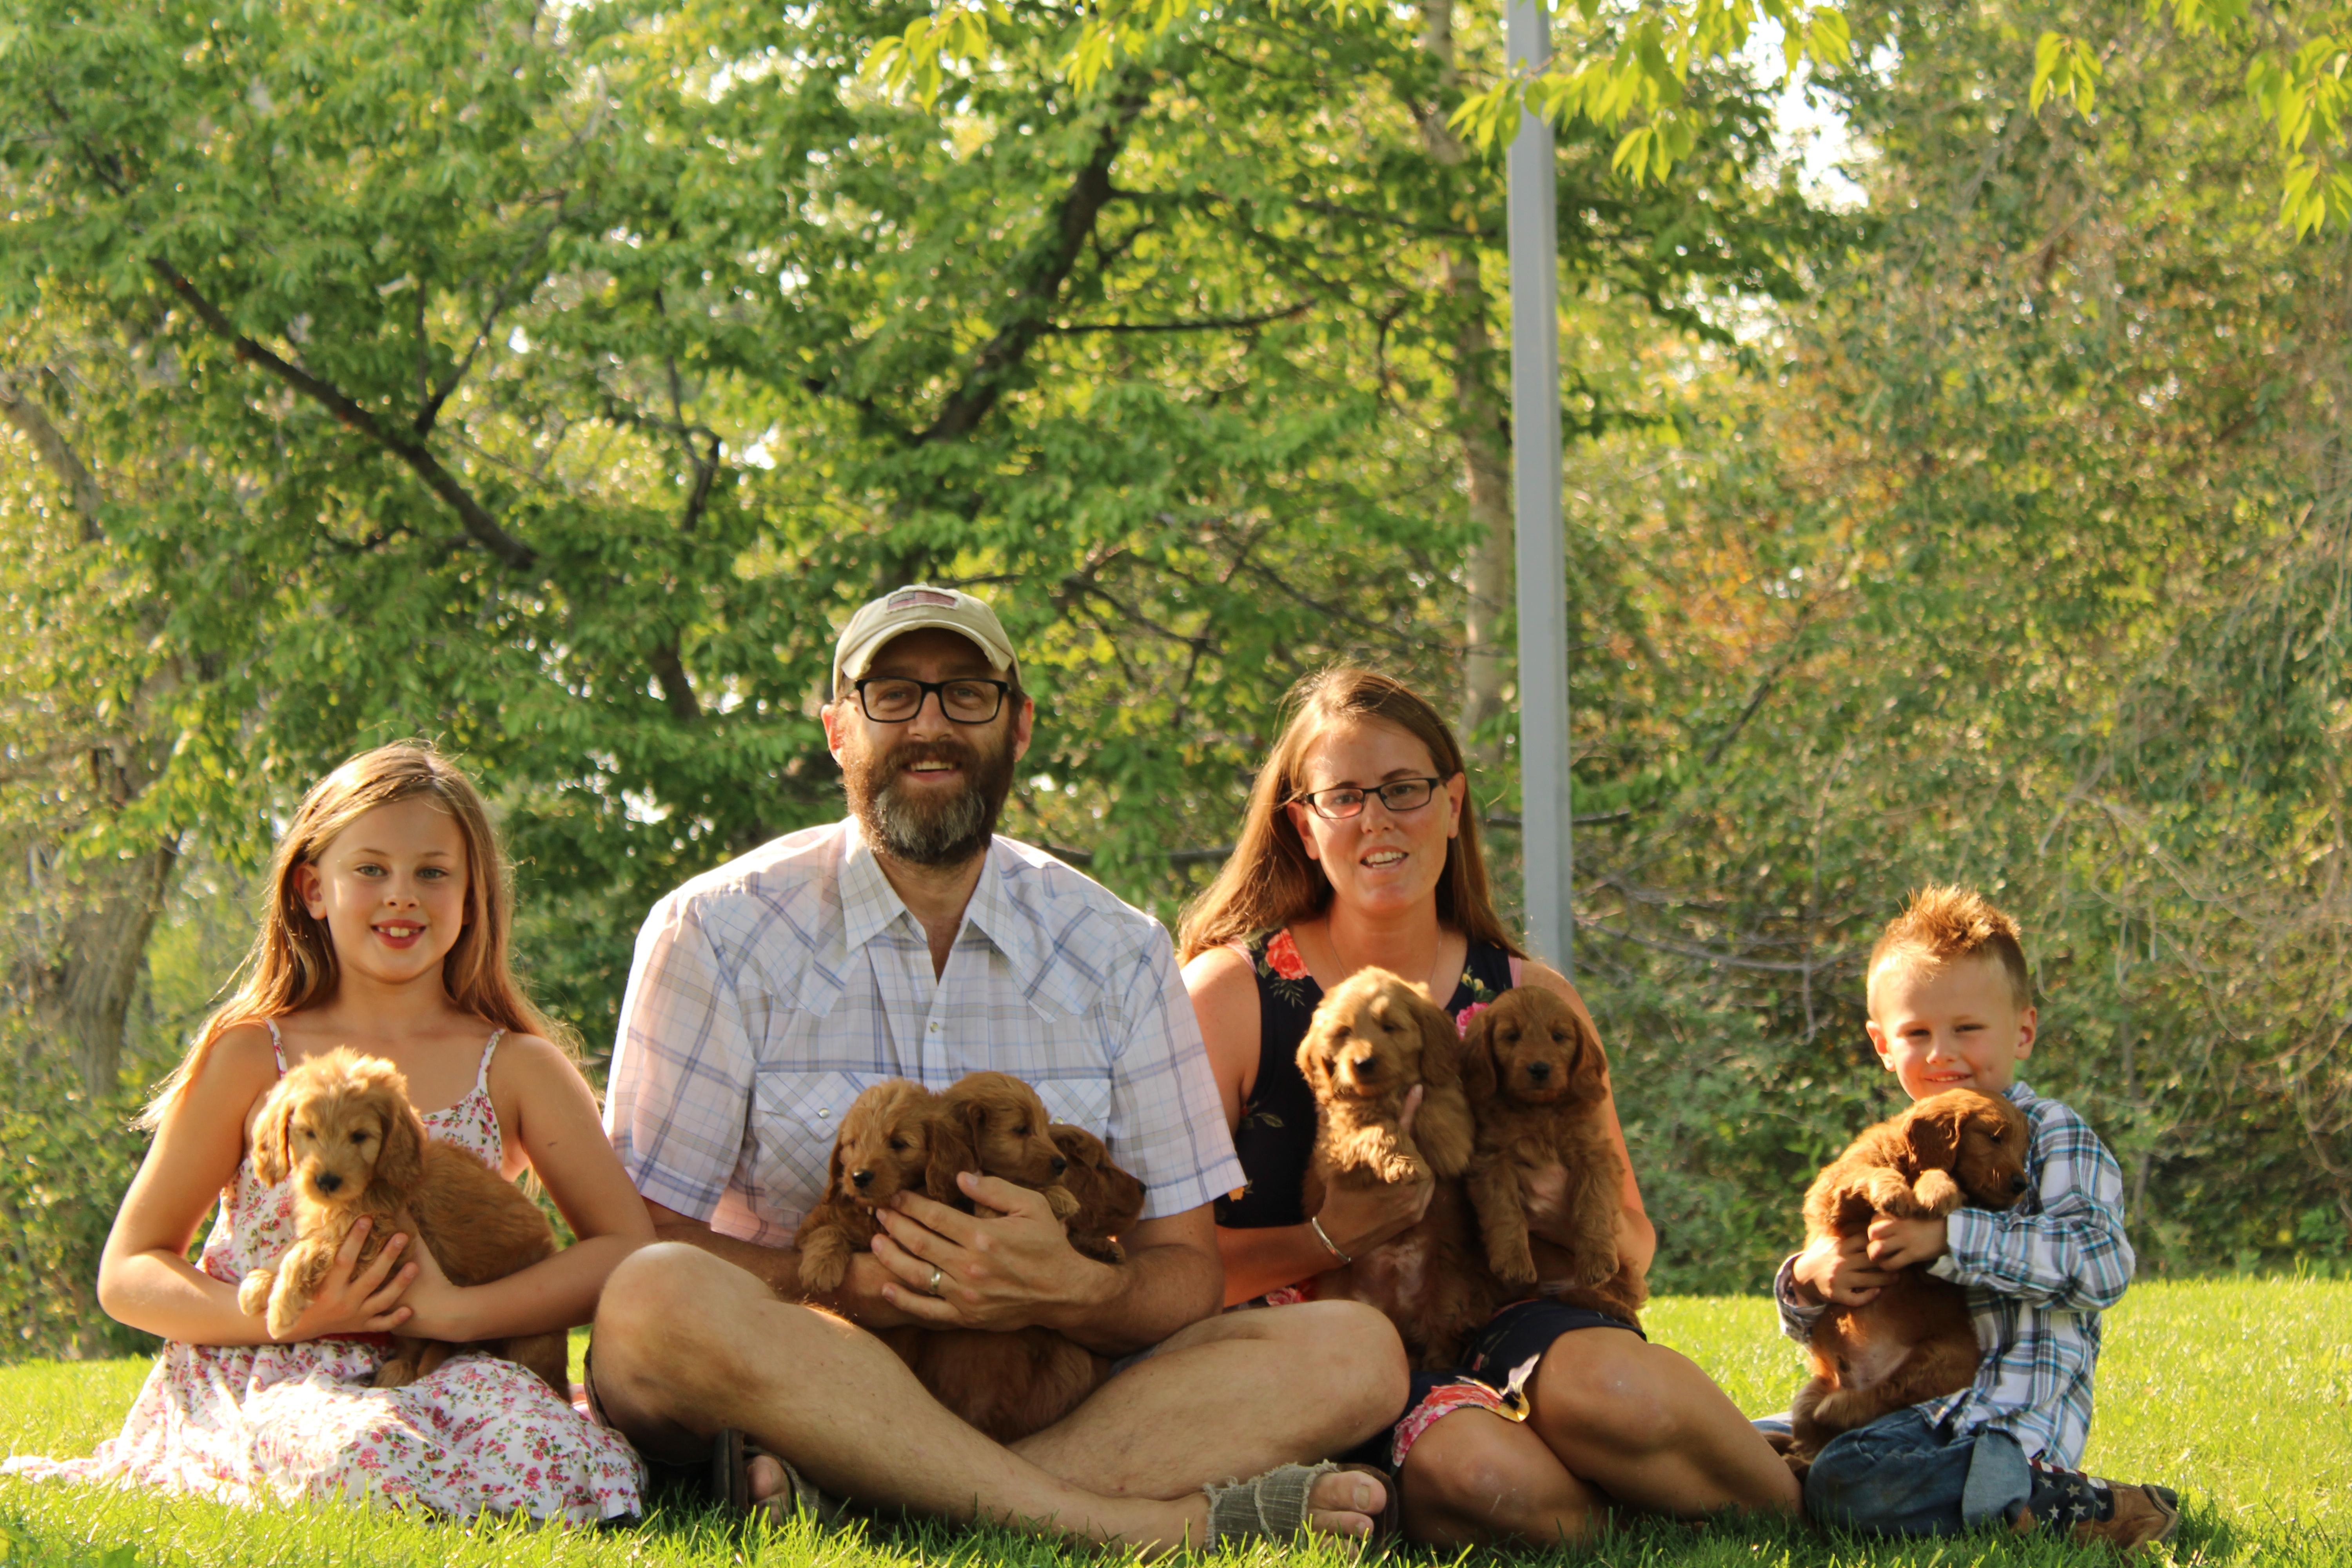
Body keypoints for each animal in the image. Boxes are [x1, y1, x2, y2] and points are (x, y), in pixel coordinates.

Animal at [236, 1047, 568, 1397]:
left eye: (360, 1137)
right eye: (309, 1133)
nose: (326, 1181)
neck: (375, 1180)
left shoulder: (381, 1235)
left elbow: (312, 1247)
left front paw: (281, 1305)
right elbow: (299, 1243)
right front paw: (259, 1282)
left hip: (532, 1344)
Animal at [1297, 969, 1487, 1368]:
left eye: (1390, 1027)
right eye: (1343, 1033)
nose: (1363, 1063)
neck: (1387, 1094)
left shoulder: (1437, 1090)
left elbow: (1438, 1098)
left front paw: (1448, 1145)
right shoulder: (1335, 1148)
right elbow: (1378, 1129)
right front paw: (1406, 1163)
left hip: (1447, 1291)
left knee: (1440, 1343)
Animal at [1458, 986, 1646, 1329]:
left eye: (1559, 1036)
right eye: (1512, 1036)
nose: (1540, 1069)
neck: (1540, 1110)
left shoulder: (1595, 1153)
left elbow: (1593, 1204)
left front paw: (1597, 1260)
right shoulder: (1492, 1160)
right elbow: (1505, 1210)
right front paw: (1513, 1261)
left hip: (1627, 1270)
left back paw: (1621, 1310)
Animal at [1783, 1087, 2034, 1473]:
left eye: (2024, 1150)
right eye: (1995, 1138)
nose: (2022, 1185)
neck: (1908, 1163)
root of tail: (1859, 1377)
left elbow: (1939, 1176)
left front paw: (1937, 1189)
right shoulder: (1833, 1190)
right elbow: (1869, 1172)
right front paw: (1895, 1191)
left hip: (1951, 1356)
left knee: (1886, 1396)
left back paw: (1840, 1407)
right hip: (1808, 1395)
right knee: (1816, 1437)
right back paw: (1802, 1453)